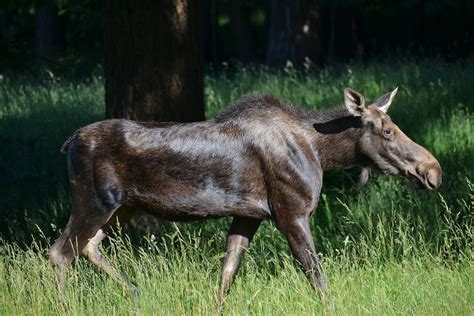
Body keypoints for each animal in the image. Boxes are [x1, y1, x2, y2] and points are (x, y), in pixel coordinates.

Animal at [48, 86, 440, 302]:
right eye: (387, 131)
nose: (432, 170)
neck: (322, 154)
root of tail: (68, 142)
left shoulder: (248, 216)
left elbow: (226, 277)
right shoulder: (291, 213)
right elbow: (317, 277)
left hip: (122, 208)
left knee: (87, 247)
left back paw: (135, 293)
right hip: (95, 201)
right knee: (60, 252)